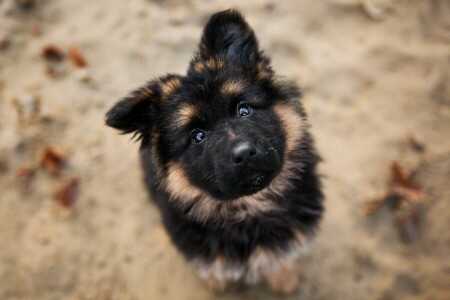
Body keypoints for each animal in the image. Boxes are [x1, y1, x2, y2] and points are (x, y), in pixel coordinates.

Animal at [105, 9, 324, 296]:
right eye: (198, 136)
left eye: (244, 110)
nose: (244, 153)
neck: (248, 208)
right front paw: (215, 281)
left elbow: (281, 256)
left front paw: (284, 278)